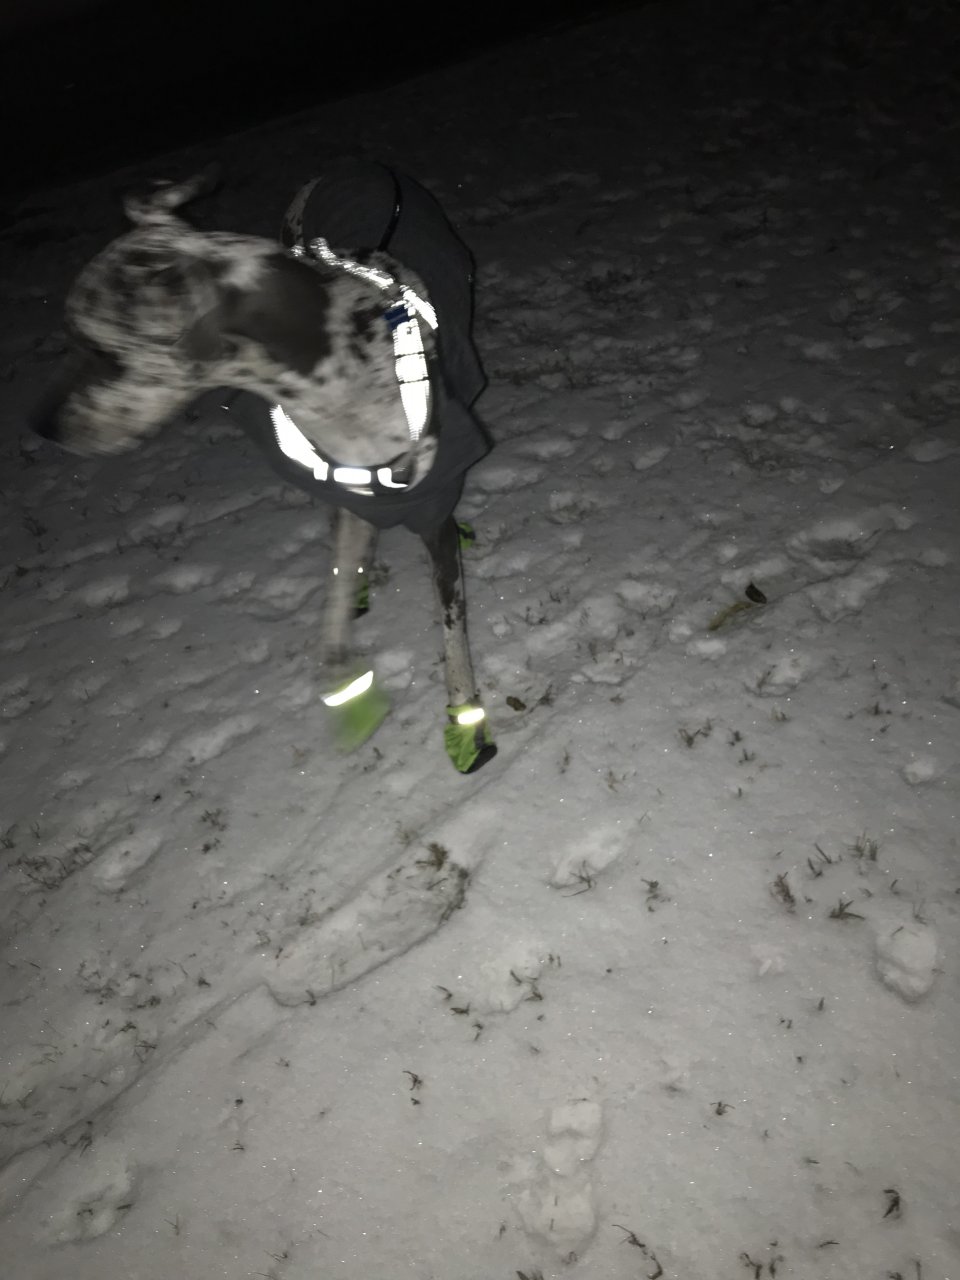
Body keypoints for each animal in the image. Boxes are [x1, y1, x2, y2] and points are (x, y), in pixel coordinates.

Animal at [33, 159, 497, 773]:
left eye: (103, 351)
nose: (42, 427)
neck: (335, 375)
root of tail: (360, 164)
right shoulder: (344, 483)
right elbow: (333, 613)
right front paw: (349, 684)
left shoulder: (431, 508)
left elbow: (451, 629)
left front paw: (467, 721)